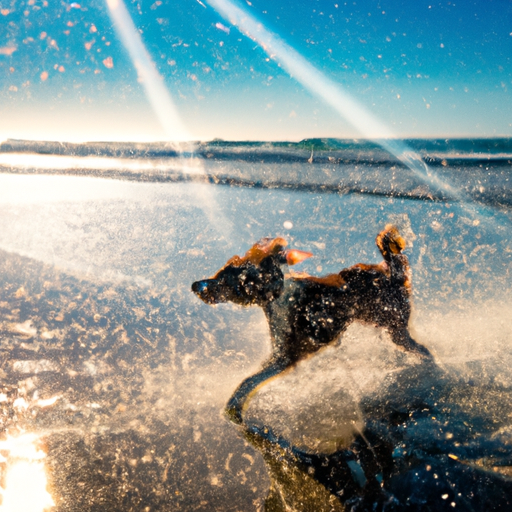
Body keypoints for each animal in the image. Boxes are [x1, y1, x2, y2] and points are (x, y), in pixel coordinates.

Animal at [192, 225, 432, 424]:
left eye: (227, 278)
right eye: (222, 270)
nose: (195, 285)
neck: (280, 295)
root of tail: (391, 273)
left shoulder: (285, 357)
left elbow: (248, 382)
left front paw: (234, 409)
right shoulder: (280, 355)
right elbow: (250, 380)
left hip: (396, 330)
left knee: (425, 352)